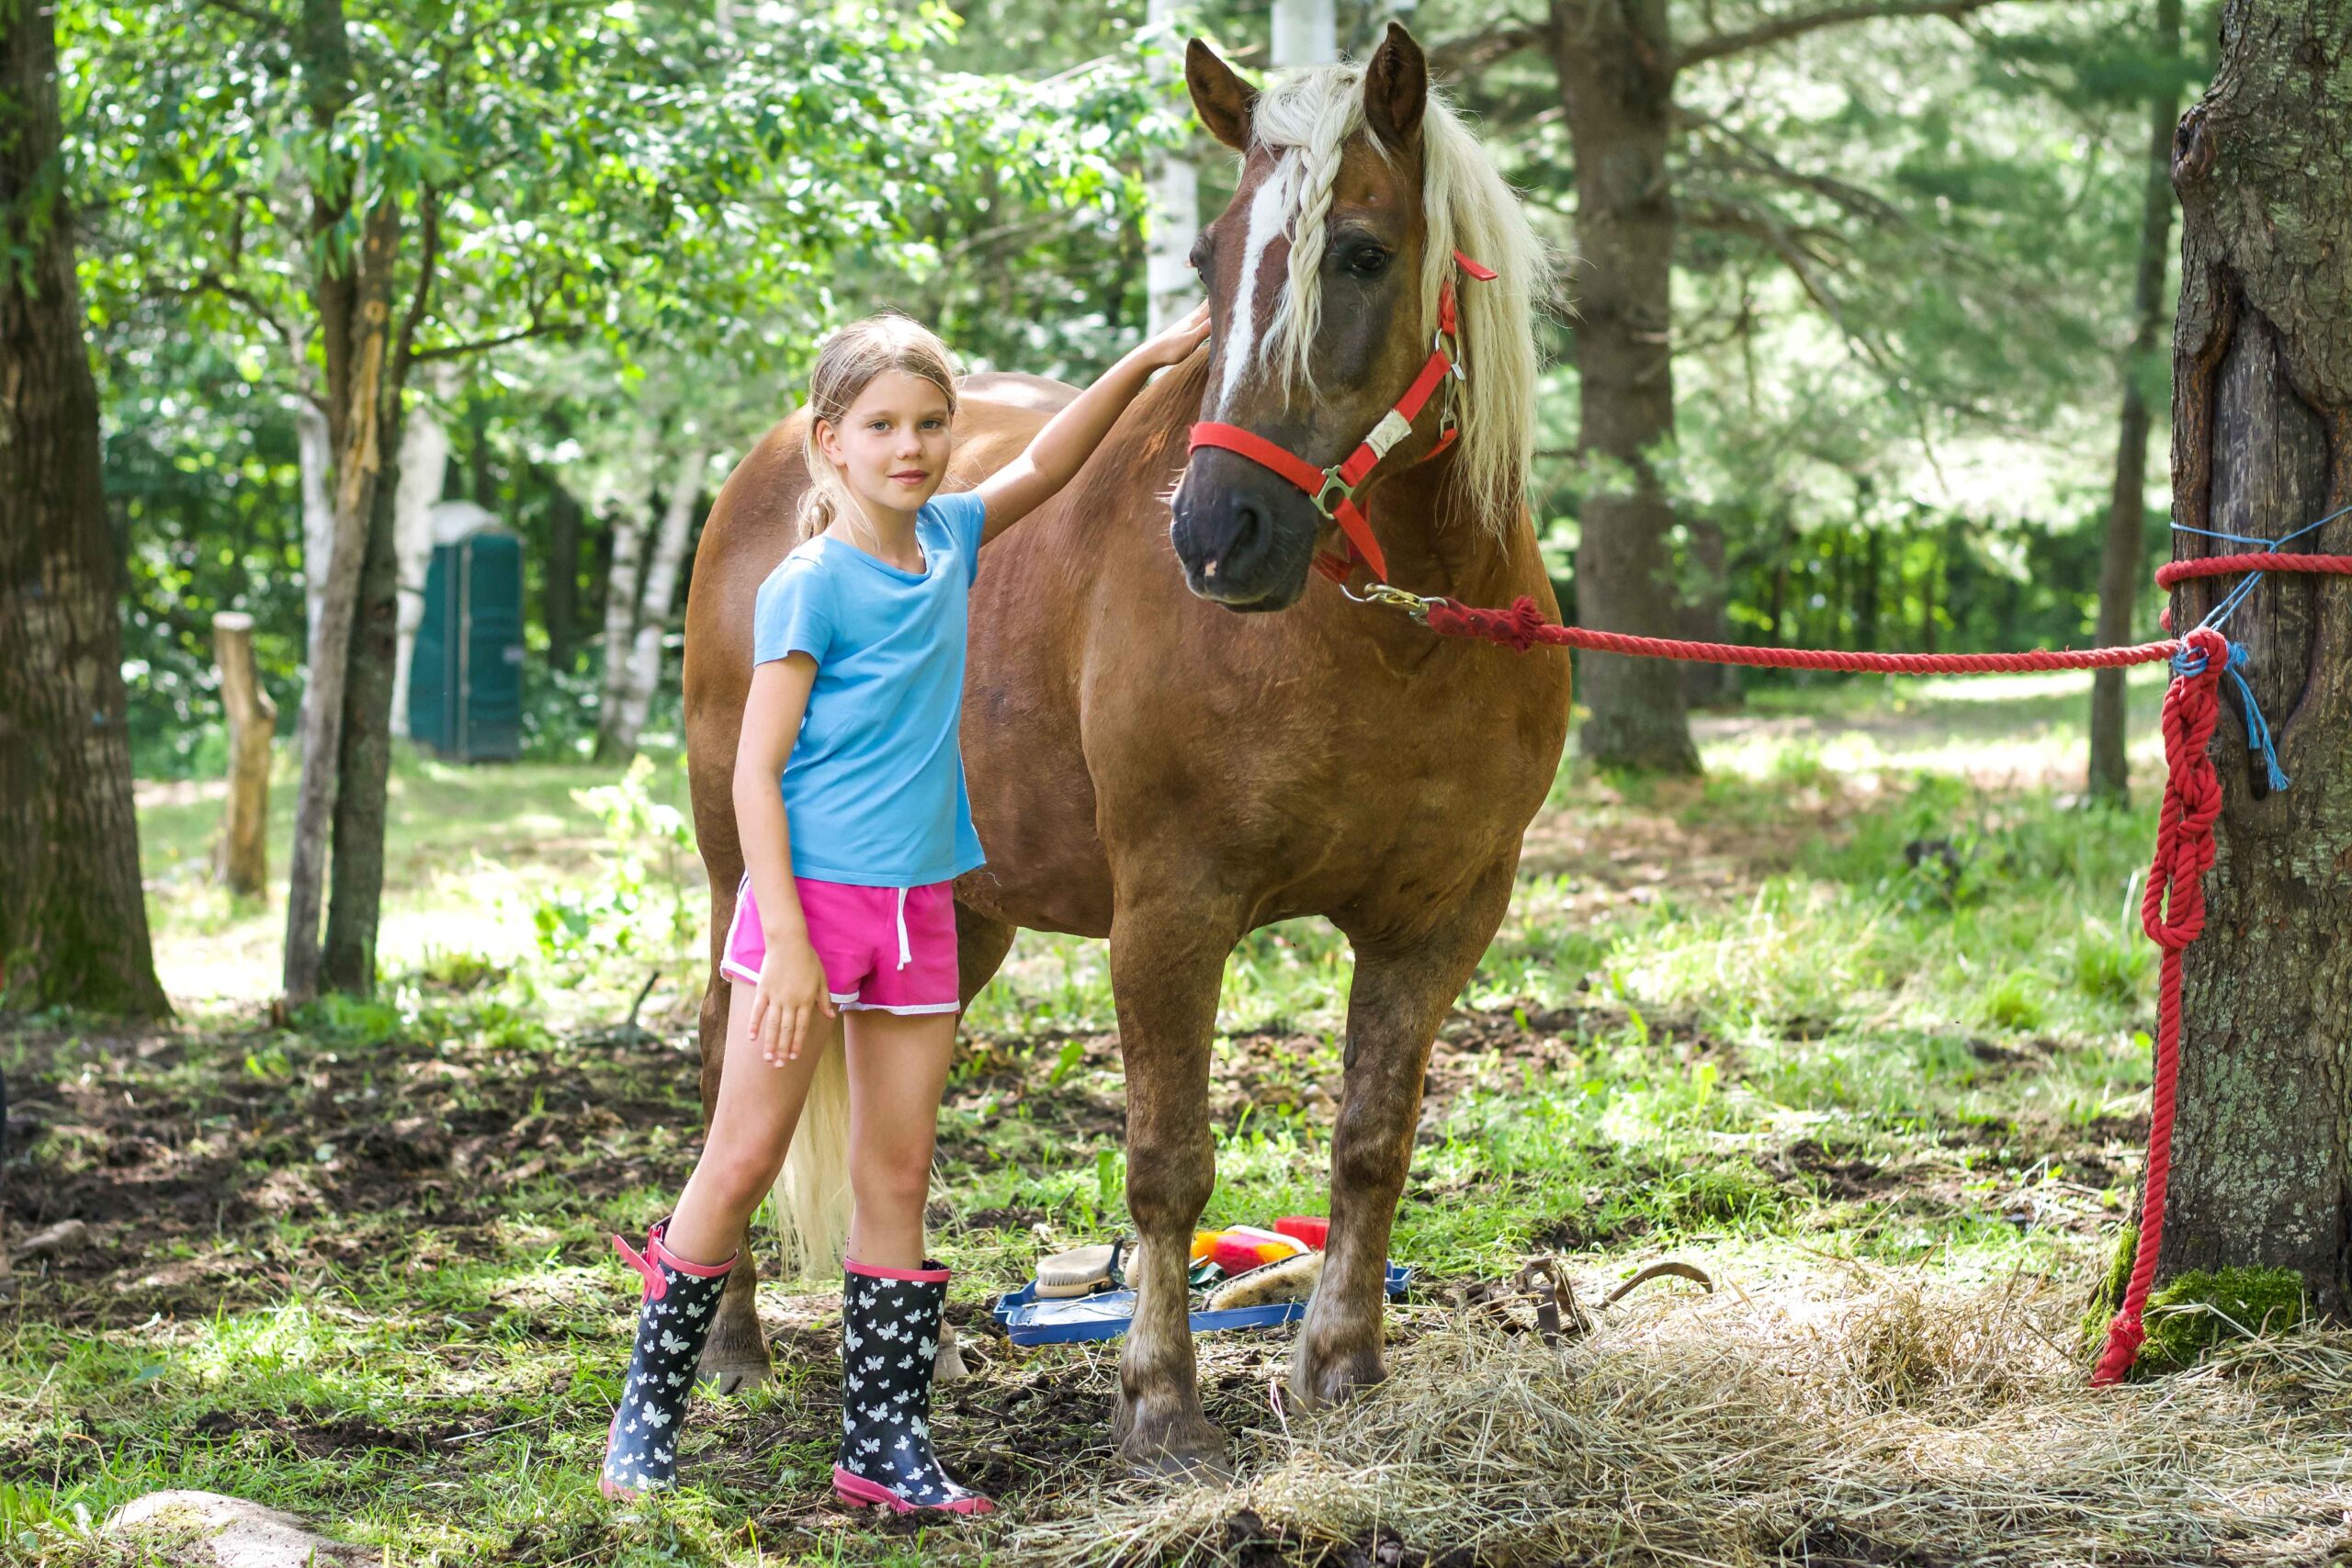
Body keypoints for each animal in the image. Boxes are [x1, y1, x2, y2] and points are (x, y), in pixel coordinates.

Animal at [677, 24, 1569, 1473]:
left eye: (1361, 252)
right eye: (1208, 261)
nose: (1216, 531)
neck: (1398, 633)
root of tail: (772, 468)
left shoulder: (1440, 920)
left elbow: (1371, 1142)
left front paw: (1343, 1367)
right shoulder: (1172, 908)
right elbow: (1168, 1164)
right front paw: (1159, 1403)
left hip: (961, 916)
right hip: (742, 878)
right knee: (728, 1074)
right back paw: (736, 1344)